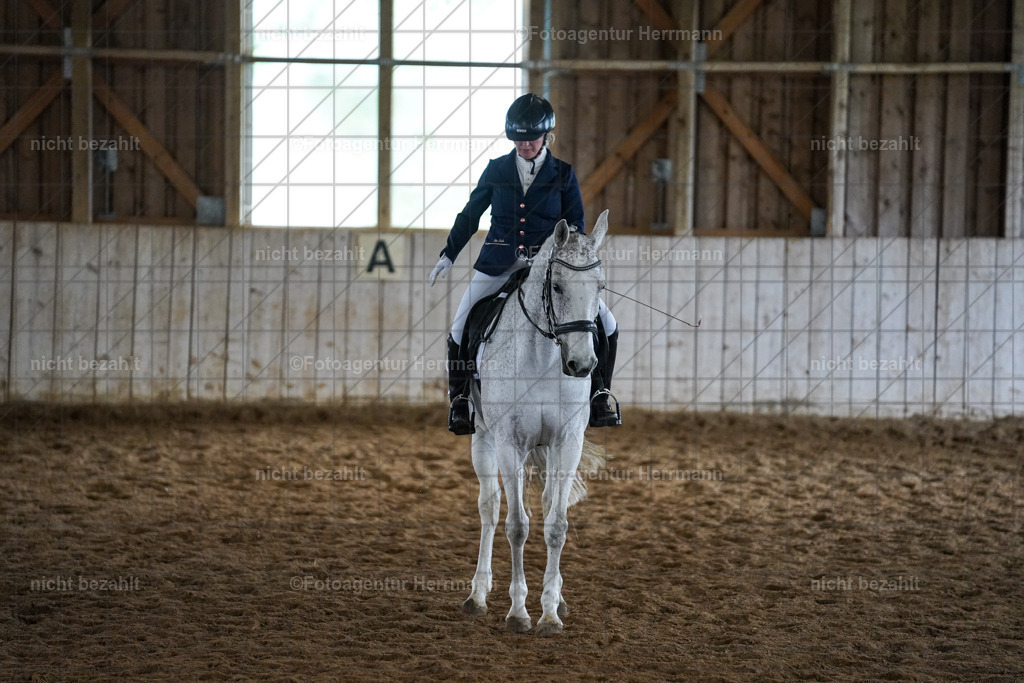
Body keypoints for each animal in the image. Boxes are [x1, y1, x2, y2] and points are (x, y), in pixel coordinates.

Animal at [461, 209, 612, 636]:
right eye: (556, 286)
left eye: (600, 287)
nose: (581, 365)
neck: (545, 355)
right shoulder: (509, 442)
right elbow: (516, 526)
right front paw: (518, 613)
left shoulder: (568, 442)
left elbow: (556, 525)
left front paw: (549, 613)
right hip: (484, 439)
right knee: (490, 507)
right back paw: (478, 594)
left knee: (541, 505)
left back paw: (556, 597)